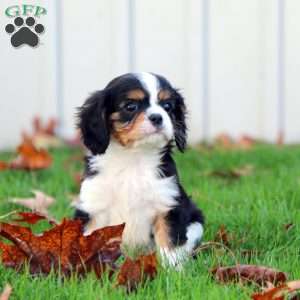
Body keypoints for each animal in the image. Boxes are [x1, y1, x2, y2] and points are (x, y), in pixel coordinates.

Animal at [75, 72, 205, 268]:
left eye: (167, 106)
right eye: (131, 106)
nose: (157, 117)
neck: (134, 158)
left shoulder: (167, 205)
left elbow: (169, 243)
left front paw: (172, 271)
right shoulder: (94, 210)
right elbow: (88, 240)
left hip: (196, 223)